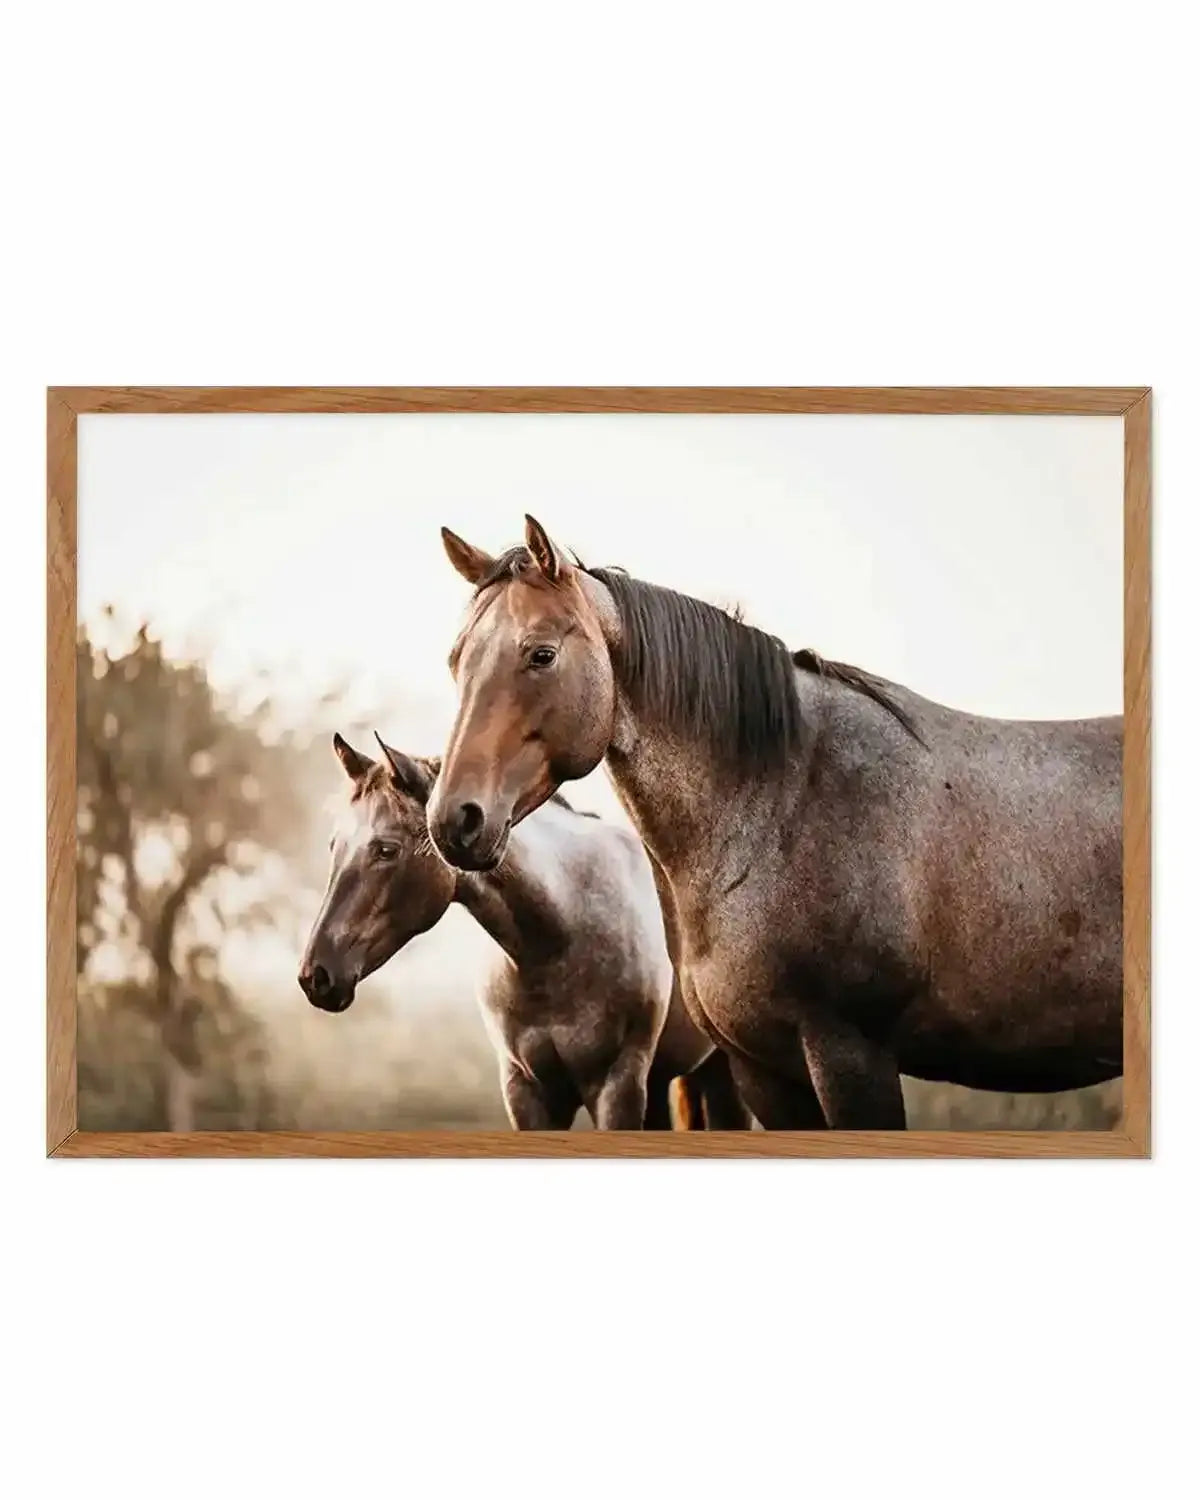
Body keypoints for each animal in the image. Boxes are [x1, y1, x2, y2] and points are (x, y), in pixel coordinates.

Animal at [298, 731, 751, 1130]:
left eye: (386, 849)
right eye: (334, 845)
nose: (315, 976)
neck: (559, 941)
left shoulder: (616, 1086)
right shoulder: (527, 1091)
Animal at [425, 514, 1123, 1129]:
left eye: (541, 655)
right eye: (457, 661)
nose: (454, 819)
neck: (783, 806)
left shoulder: (851, 1055)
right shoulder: (763, 1069)